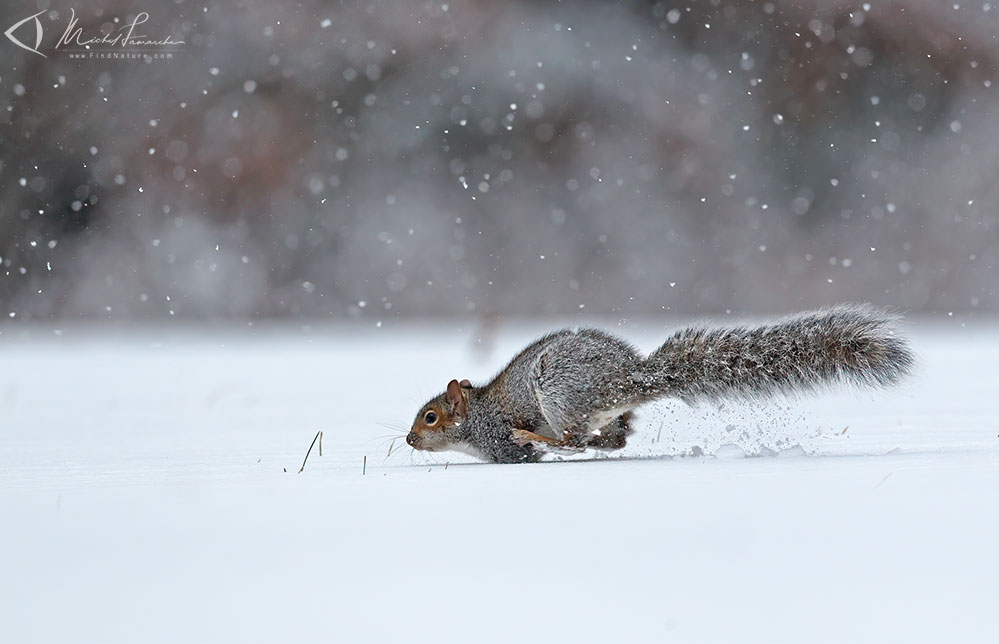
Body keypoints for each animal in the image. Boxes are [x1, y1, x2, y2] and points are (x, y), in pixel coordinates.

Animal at [406, 304, 916, 466]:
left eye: (430, 417)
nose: (409, 440)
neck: (476, 418)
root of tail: (627, 379)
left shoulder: (498, 440)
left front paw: (527, 444)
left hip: (557, 390)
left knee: (574, 439)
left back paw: (538, 435)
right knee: (612, 440)